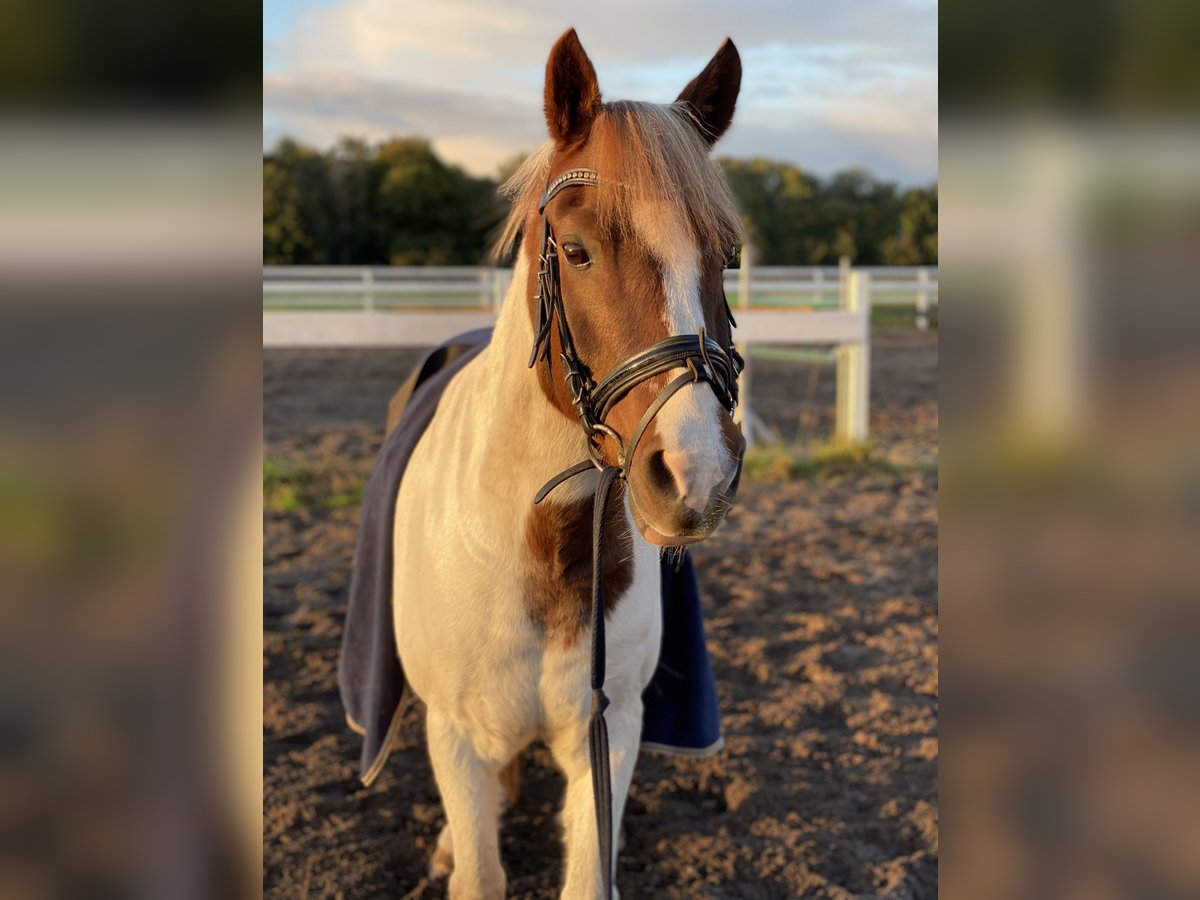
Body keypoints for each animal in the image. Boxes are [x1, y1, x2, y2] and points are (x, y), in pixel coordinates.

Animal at [393, 30, 744, 900]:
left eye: (728, 255)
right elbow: (477, 873)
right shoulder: (453, 736)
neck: (536, 551)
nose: (698, 473)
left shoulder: (609, 734)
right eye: (577, 251)